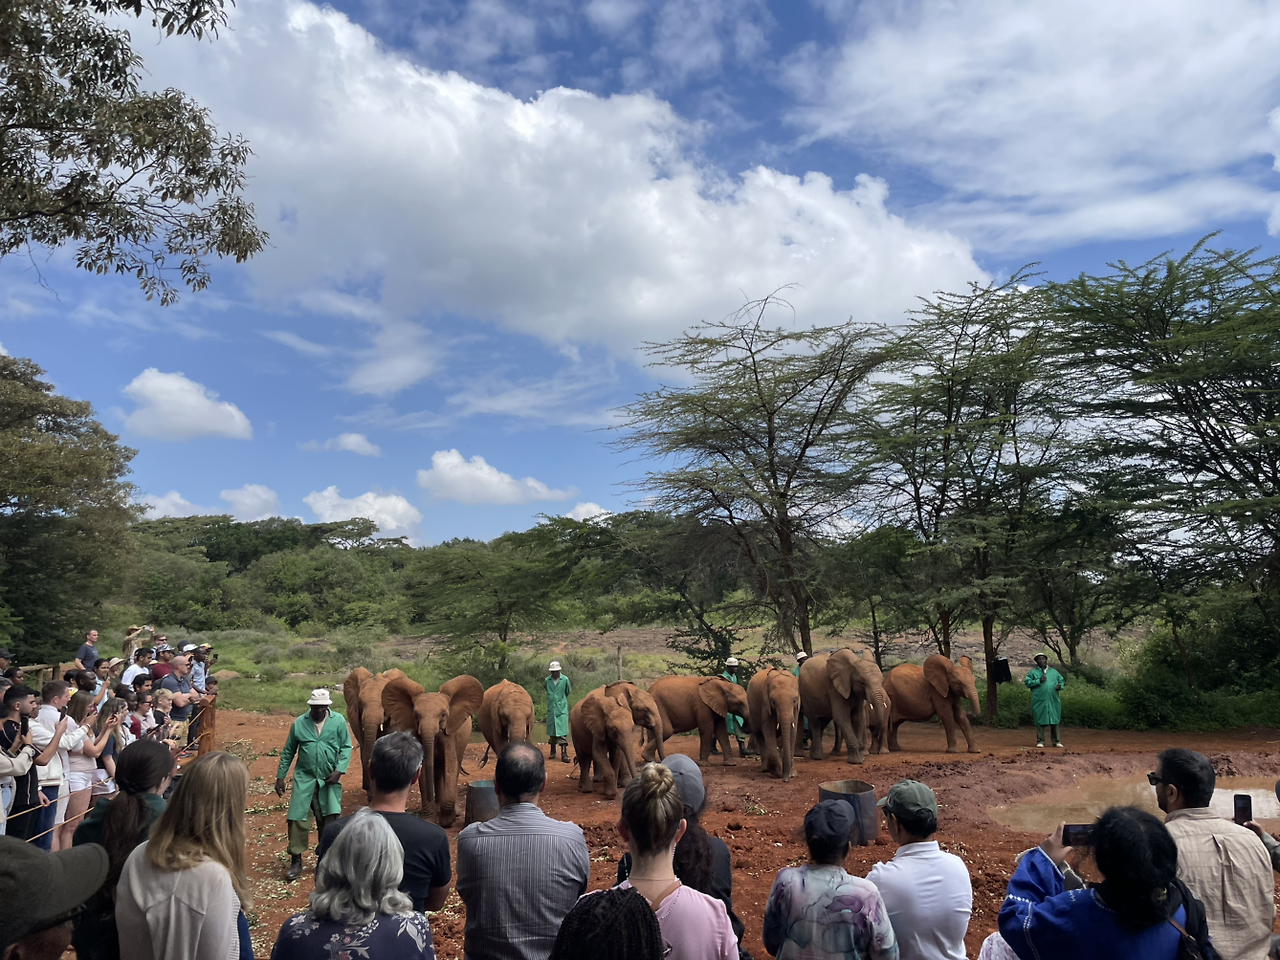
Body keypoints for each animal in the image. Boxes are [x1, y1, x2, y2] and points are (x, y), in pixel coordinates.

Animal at [383, 673, 485, 826]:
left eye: (443, 715)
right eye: (416, 716)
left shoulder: (450, 732)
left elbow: (450, 765)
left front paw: (446, 821)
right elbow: (424, 769)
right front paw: (429, 820)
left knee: (454, 766)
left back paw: (454, 811)